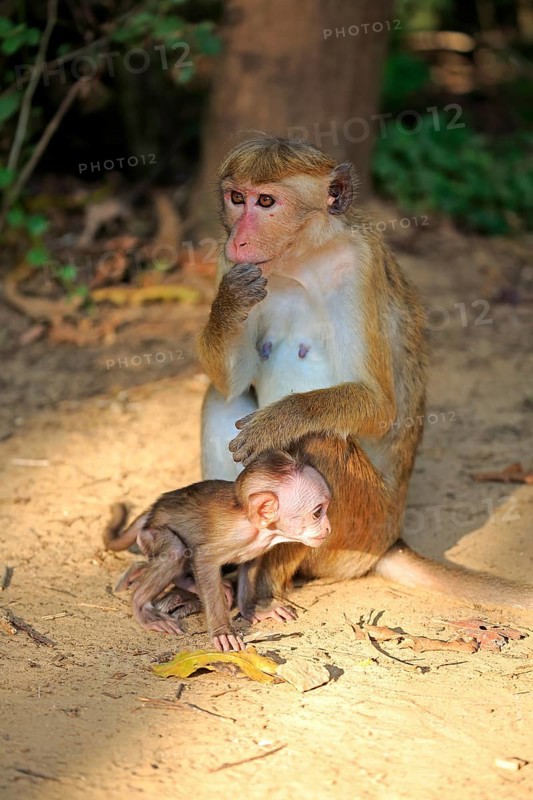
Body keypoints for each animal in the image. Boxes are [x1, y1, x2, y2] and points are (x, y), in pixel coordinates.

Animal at [105, 449, 331, 651]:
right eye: (317, 513)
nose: (329, 528)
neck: (259, 529)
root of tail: (152, 511)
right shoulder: (236, 537)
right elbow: (204, 559)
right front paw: (223, 631)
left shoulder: (256, 546)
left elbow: (250, 565)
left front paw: (251, 610)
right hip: (151, 534)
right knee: (176, 551)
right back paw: (140, 606)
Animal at [197, 134, 533, 612]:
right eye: (236, 198)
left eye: (266, 201)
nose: (240, 240)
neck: (300, 259)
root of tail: (391, 540)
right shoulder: (230, 264)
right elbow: (233, 382)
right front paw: (229, 301)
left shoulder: (359, 266)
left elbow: (378, 405)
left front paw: (277, 421)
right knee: (219, 394)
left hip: (360, 530)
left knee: (318, 441)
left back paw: (266, 585)